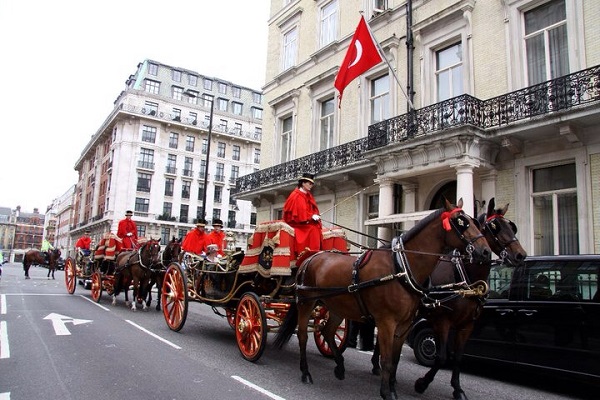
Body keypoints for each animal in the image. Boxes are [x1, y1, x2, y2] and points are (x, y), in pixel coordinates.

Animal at [276, 198, 492, 398]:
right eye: (461, 222)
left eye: (474, 221)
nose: (485, 251)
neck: (400, 267)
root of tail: (310, 257)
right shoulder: (388, 321)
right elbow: (387, 360)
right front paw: (387, 391)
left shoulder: (405, 324)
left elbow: (395, 360)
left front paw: (393, 387)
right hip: (306, 303)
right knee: (303, 335)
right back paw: (306, 372)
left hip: (336, 306)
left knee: (328, 331)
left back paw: (339, 367)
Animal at [410, 199, 528, 400]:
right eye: (495, 226)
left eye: (512, 227)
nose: (521, 255)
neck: (464, 277)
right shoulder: (443, 321)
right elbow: (441, 356)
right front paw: (422, 383)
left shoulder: (466, 325)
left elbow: (458, 357)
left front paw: (457, 389)